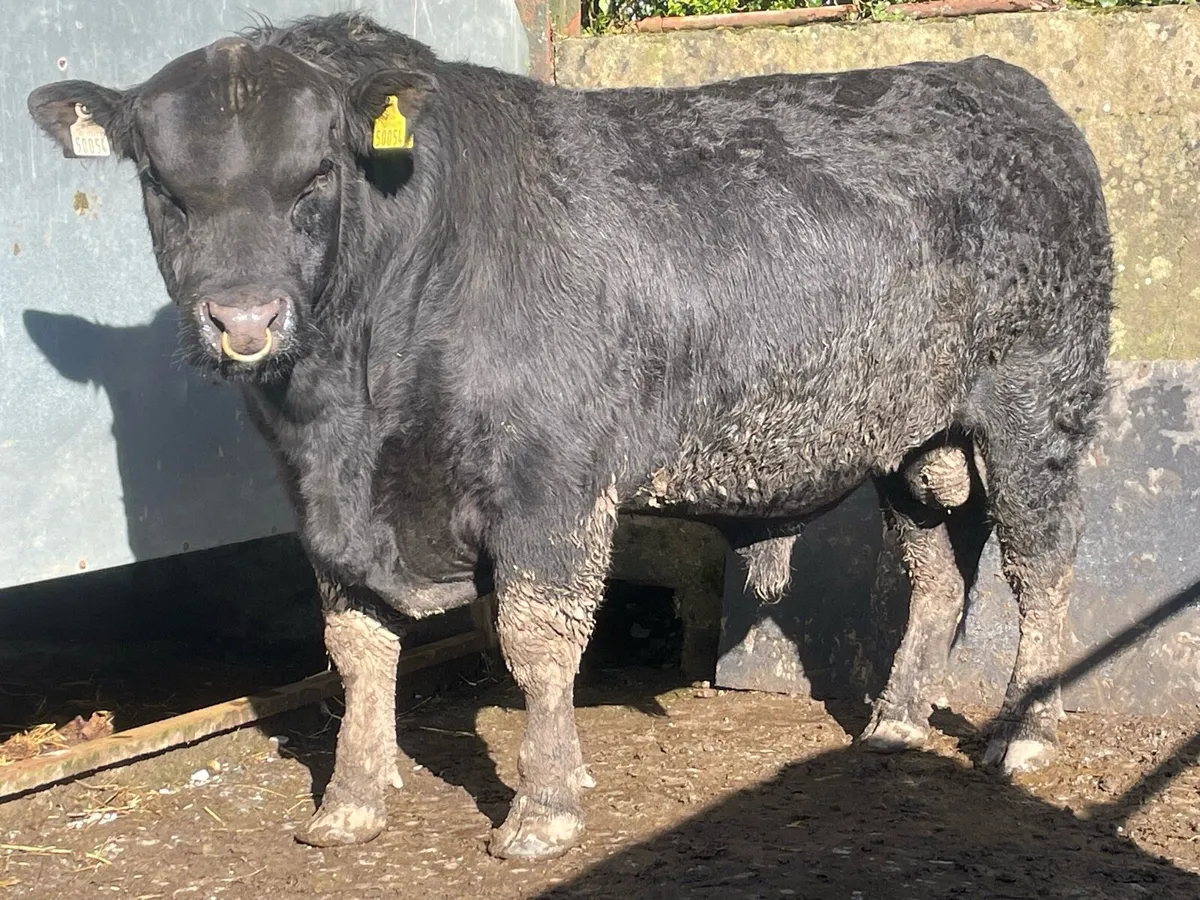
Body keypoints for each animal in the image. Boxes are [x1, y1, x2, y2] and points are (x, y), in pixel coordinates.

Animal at [28, 13, 1112, 860]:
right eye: (163, 185)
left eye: (317, 175)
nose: (244, 320)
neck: (357, 411)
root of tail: (1002, 82)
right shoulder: (322, 507)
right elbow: (356, 648)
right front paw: (351, 803)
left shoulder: (552, 485)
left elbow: (535, 640)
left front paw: (543, 808)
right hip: (913, 446)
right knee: (939, 578)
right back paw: (894, 723)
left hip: (1038, 408)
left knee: (1043, 570)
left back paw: (1025, 733)